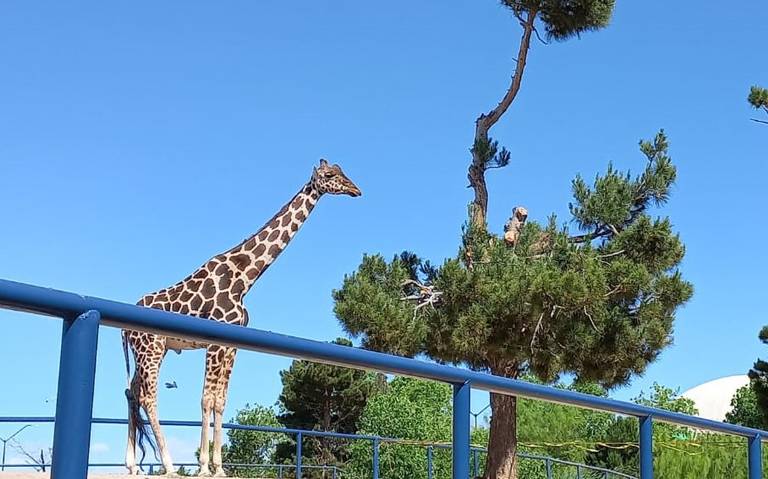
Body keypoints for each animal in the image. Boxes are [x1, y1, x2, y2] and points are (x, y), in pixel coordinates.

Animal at [123, 158, 364, 476]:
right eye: (330, 175)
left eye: (342, 171)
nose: (356, 189)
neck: (244, 278)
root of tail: (125, 331)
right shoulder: (214, 343)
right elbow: (206, 398)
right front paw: (203, 467)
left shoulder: (231, 345)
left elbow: (221, 401)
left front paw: (219, 467)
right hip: (149, 349)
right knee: (148, 396)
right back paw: (169, 465)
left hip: (153, 351)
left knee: (132, 391)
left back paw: (132, 466)